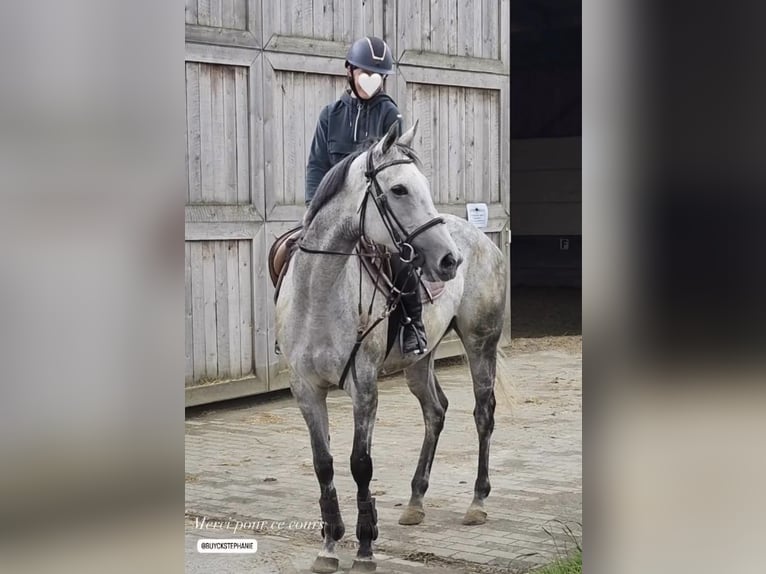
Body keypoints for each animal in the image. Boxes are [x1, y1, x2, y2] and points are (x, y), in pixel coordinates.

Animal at [276, 122, 510, 574]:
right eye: (399, 189)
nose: (449, 260)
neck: (319, 294)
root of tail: (480, 240)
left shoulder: (364, 388)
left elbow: (360, 465)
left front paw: (366, 548)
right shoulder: (306, 390)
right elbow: (324, 464)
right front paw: (328, 546)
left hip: (480, 345)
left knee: (483, 414)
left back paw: (477, 502)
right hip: (420, 362)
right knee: (435, 411)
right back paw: (416, 501)